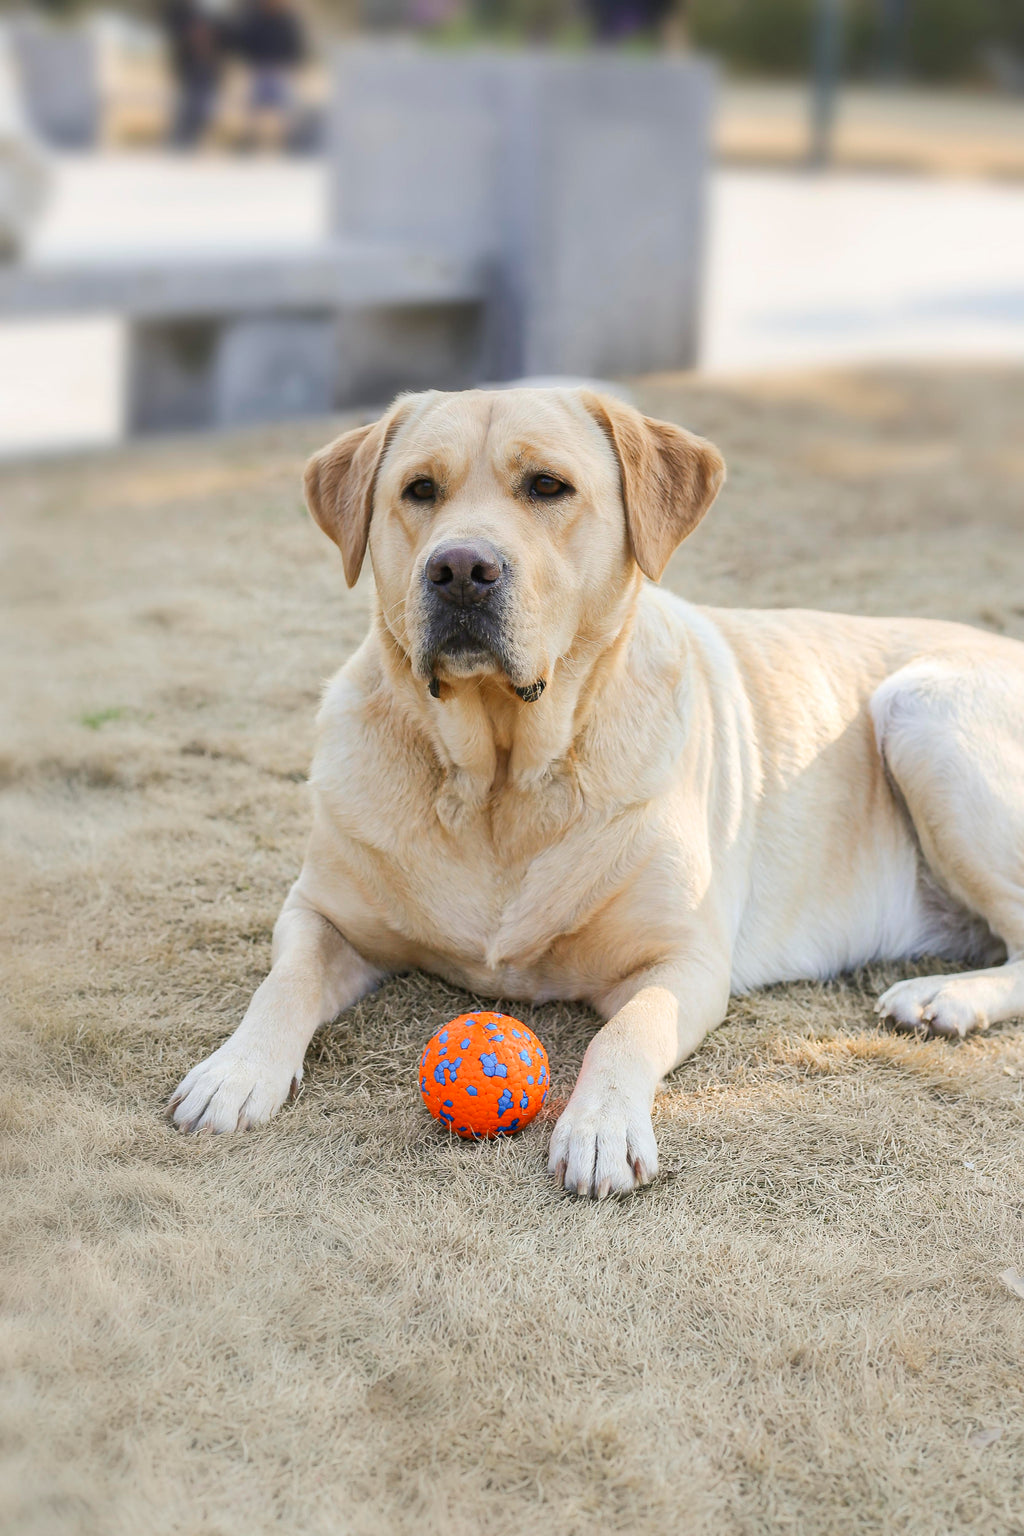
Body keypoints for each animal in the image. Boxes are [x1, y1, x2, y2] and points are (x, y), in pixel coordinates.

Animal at [170, 387, 1024, 1198]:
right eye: (419, 490)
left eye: (548, 486)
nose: (459, 570)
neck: (503, 780)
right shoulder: (319, 912)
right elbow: (283, 983)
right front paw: (235, 1070)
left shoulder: (684, 962)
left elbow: (628, 1032)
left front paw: (601, 1126)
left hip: (923, 711)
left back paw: (945, 999)